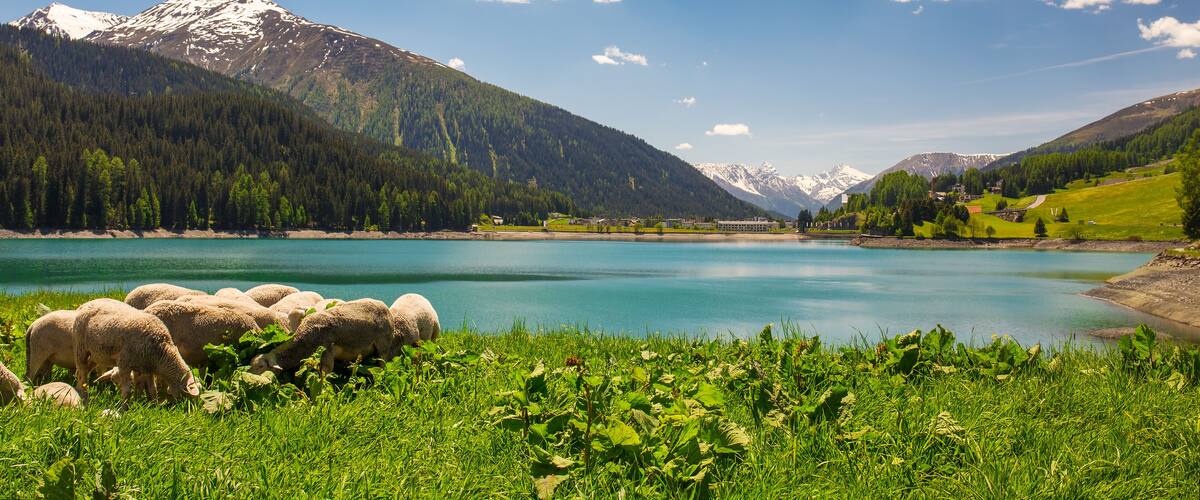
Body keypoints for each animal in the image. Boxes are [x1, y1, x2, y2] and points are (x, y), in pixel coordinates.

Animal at [251, 299, 417, 376]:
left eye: (261, 367)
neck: (304, 340)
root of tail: (383, 305)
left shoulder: (327, 355)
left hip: (383, 347)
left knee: (382, 364)